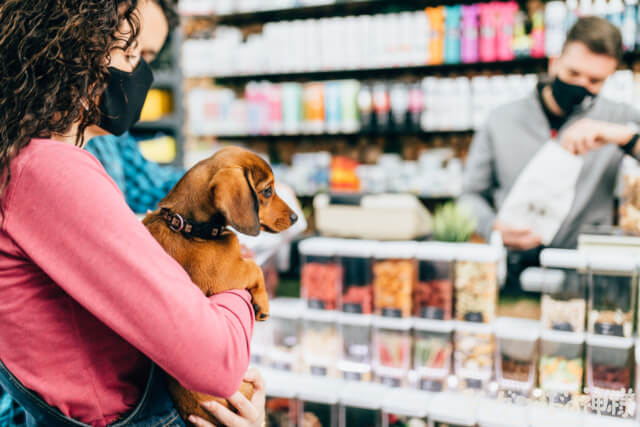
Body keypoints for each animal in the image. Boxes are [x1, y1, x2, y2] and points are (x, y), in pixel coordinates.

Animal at [142, 146, 298, 424]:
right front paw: (263, 303)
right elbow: (254, 267)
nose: (296, 217)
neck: (186, 226)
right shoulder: (225, 274)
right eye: (267, 191)